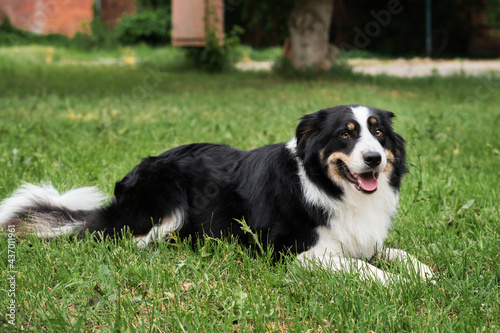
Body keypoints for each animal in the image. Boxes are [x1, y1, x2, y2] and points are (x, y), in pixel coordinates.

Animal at [0, 104, 434, 282]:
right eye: (346, 134)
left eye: (378, 132)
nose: (374, 159)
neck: (330, 186)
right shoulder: (293, 252)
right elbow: (363, 267)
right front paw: (397, 283)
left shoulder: (362, 237)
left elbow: (396, 253)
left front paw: (424, 273)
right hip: (168, 201)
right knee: (128, 241)